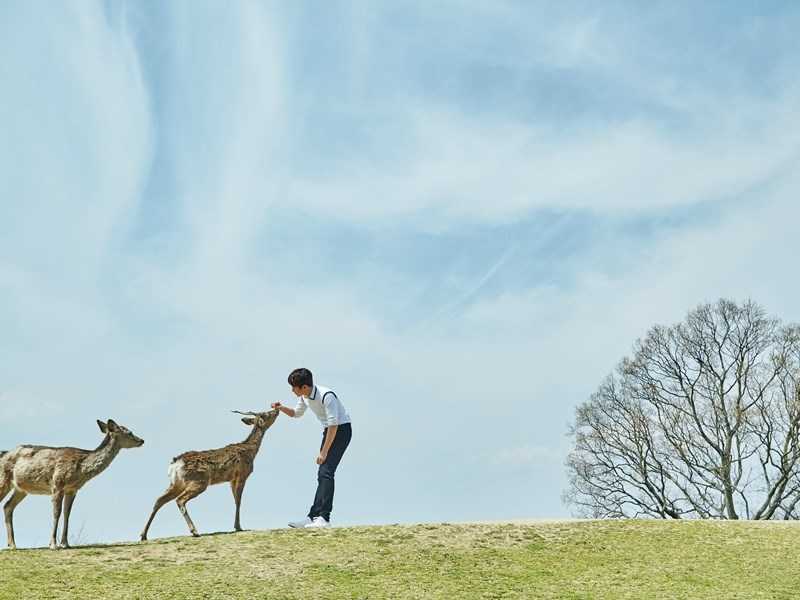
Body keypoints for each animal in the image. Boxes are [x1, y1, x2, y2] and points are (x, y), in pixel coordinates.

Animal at [0, 420, 145, 552]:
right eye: (129, 432)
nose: (142, 440)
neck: (81, 469)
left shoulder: (72, 489)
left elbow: (67, 513)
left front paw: (65, 543)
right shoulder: (57, 484)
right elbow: (56, 513)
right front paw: (53, 545)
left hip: (21, 489)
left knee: (8, 506)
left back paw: (12, 545)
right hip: (4, 481)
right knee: (6, 504)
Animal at [142, 408, 280, 544]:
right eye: (267, 414)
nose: (276, 410)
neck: (251, 451)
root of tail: (176, 463)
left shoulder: (231, 479)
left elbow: (235, 500)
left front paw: (237, 525)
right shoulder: (242, 474)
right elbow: (239, 501)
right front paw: (238, 526)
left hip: (177, 482)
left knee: (159, 500)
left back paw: (143, 535)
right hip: (199, 481)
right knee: (180, 500)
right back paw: (195, 531)